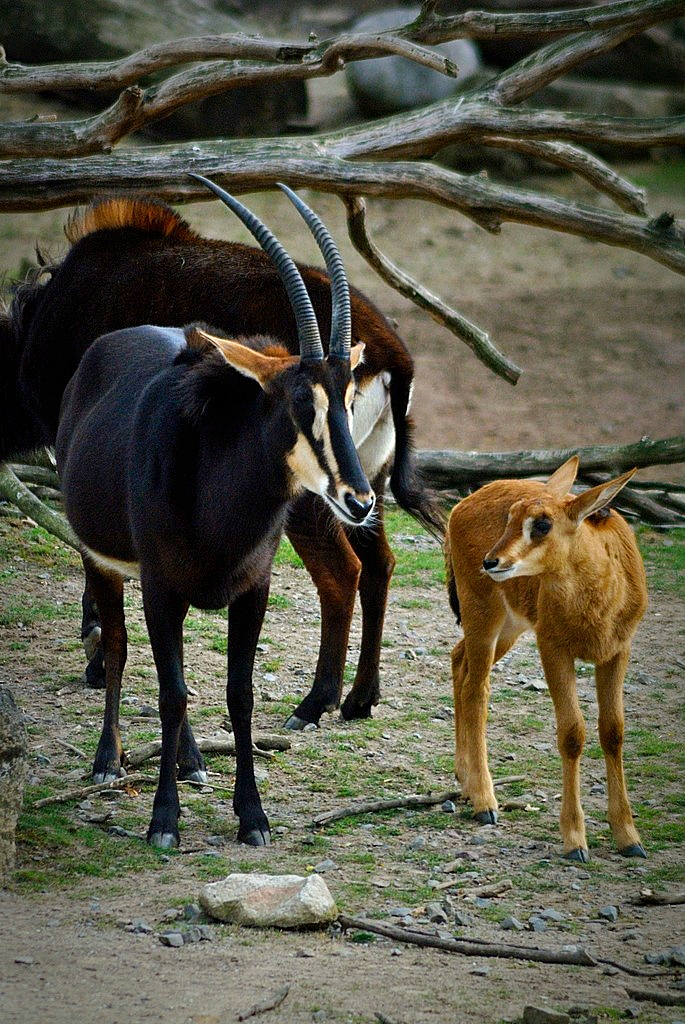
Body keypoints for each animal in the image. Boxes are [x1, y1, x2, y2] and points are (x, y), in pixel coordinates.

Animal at [0, 181, 442, 730]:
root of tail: (395, 356)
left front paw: (97, 653)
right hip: (366, 485)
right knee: (380, 563)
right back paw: (360, 698)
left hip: (318, 498)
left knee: (343, 573)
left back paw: (315, 702)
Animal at [55, 180, 375, 848]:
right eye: (300, 400)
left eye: (348, 398)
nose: (360, 501)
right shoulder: (160, 587)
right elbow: (172, 691)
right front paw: (163, 821)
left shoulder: (252, 588)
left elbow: (239, 692)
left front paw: (252, 816)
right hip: (102, 560)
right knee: (119, 646)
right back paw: (108, 761)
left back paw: (194, 761)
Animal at [444, 456, 648, 862]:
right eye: (509, 517)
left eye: (542, 523)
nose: (492, 561)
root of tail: (461, 506)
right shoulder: (553, 648)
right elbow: (572, 733)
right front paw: (575, 840)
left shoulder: (617, 651)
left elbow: (613, 731)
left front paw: (629, 837)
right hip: (484, 616)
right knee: (477, 688)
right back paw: (485, 802)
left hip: (509, 627)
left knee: (460, 663)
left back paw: (465, 782)